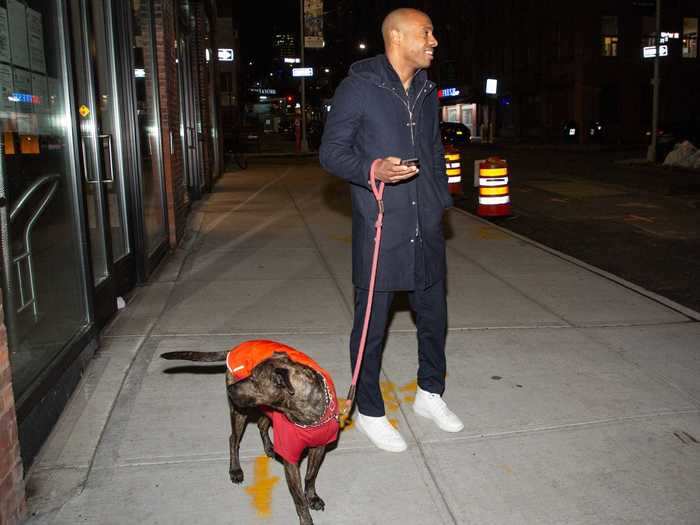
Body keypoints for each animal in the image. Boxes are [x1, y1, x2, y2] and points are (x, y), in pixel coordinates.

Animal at [161, 348, 330, 524]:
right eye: (250, 374)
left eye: (254, 379)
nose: (229, 389)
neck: (307, 414)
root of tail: (234, 348)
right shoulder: (290, 460)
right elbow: (299, 500)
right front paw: (306, 518)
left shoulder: (319, 448)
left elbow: (310, 476)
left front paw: (312, 497)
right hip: (239, 412)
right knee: (233, 440)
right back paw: (235, 469)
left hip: (264, 408)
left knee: (261, 424)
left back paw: (269, 447)